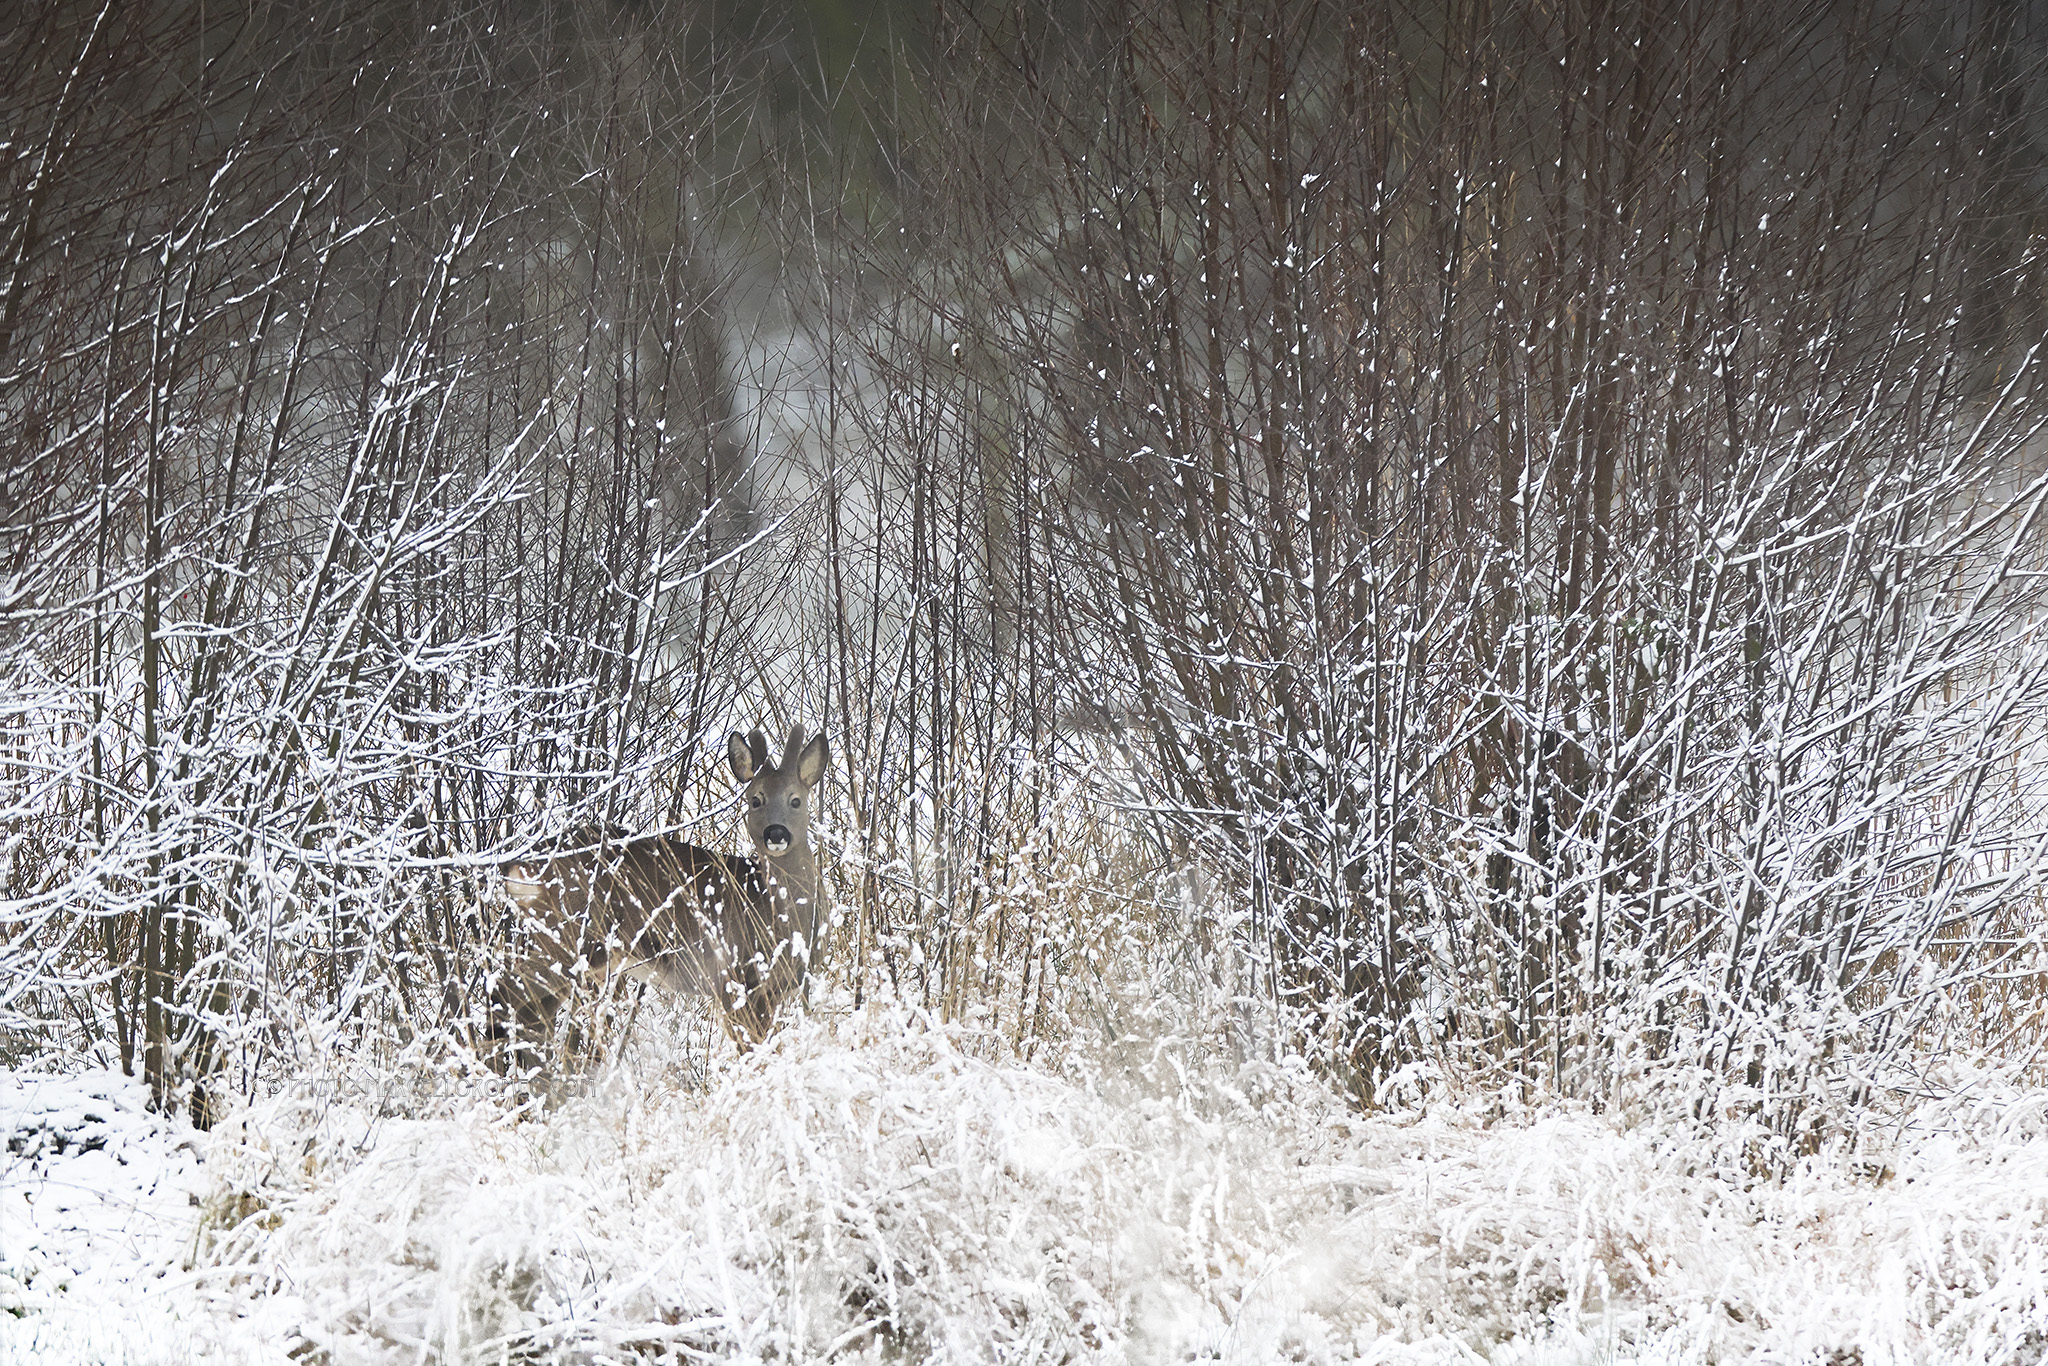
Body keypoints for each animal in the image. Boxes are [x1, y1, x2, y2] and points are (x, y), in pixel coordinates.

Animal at [495, 725, 829, 1069]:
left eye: (796, 800)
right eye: (755, 800)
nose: (776, 834)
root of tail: (516, 866)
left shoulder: (775, 991)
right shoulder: (732, 977)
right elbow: (755, 1052)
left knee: (533, 1010)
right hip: (568, 934)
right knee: (509, 994)